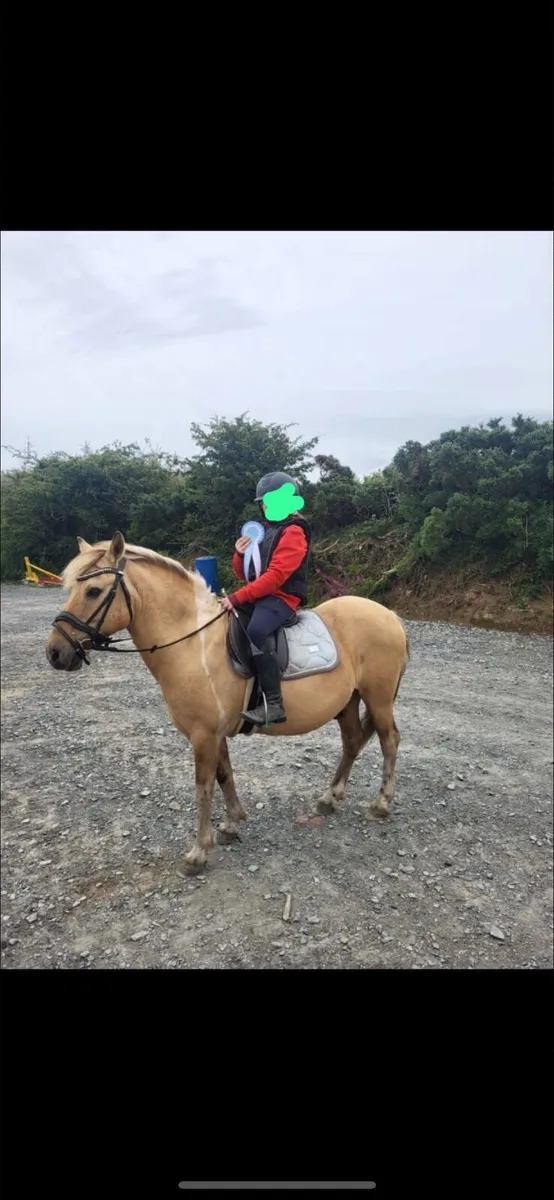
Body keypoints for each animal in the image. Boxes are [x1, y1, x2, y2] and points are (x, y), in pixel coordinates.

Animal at [45, 532, 410, 874]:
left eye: (93, 591)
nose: (55, 653)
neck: (192, 643)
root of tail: (390, 615)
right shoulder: (214, 733)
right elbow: (224, 775)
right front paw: (232, 824)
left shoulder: (203, 735)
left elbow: (203, 786)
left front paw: (198, 852)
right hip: (348, 702)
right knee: (352, 741)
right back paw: (329, 799)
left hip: (377, 699)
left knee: (389, 740)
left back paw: (381, 804)